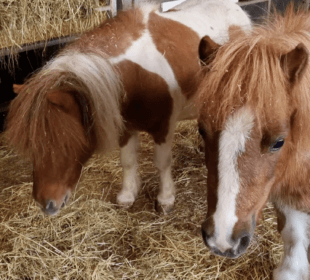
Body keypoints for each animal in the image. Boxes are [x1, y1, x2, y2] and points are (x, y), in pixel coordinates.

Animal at [6, 0, 251, 217]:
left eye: (65, 142)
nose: (46, 204)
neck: (136, 73)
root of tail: (238, 12)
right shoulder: (125, 128)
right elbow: (128, 161)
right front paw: (127, 195)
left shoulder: (163, 128)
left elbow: (162, 163)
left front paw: (165, 199)